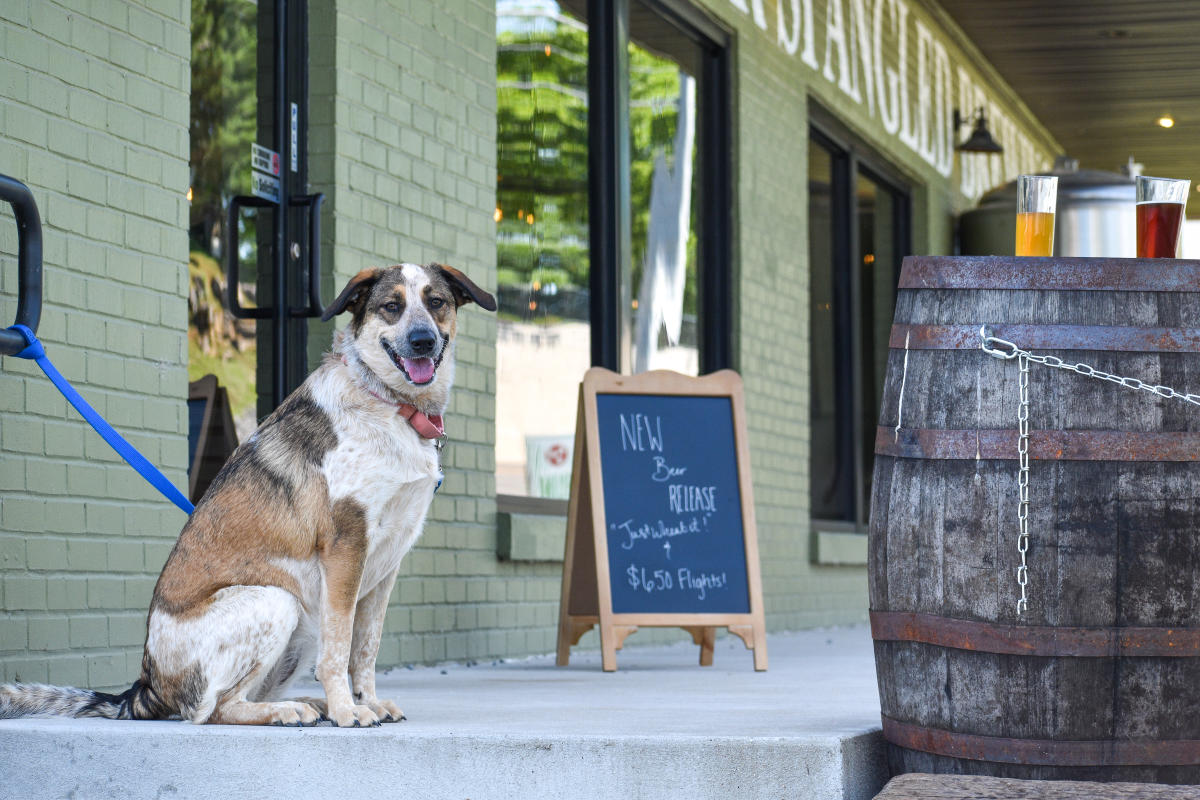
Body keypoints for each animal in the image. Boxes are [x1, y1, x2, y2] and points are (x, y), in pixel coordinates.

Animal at [1, 266, 496, 729]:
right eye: (391, 306)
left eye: (435, 302)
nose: (422, 341)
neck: (389, 403)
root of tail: (146, 686)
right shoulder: (345, 548)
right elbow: (339, 649)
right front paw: (347, 711)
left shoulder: (386, 565)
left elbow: (365, 649)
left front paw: (366, 702)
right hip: (279, 599)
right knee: (212, 710)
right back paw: (292, 710)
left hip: (300, 622)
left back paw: (305, 704)